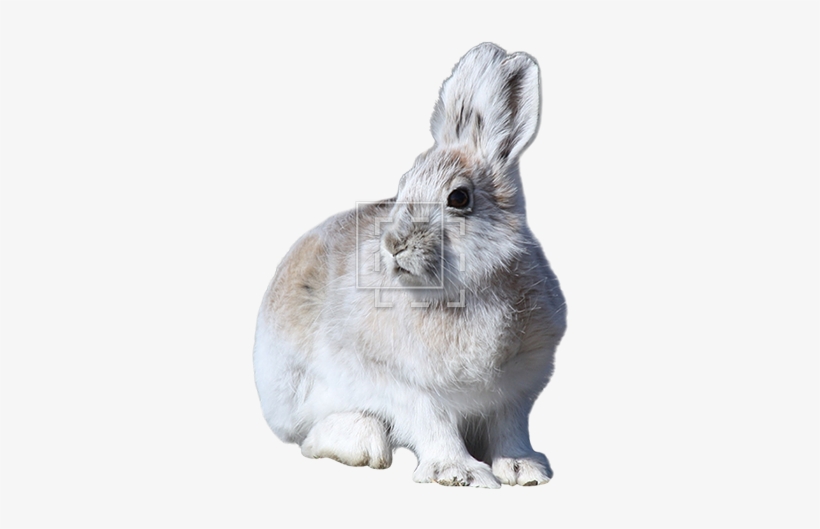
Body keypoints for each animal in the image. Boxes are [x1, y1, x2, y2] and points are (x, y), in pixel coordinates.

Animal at [253, 42, 566, 488]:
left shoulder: (515, 389)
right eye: (400, 189)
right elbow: (432, 424)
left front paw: (524, 470)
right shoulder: (403, 384)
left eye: (458, 198)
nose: (393, 244)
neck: (463, 292)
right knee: (312, 437)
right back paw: (363, 443)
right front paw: (459, 474)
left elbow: (510, 428)